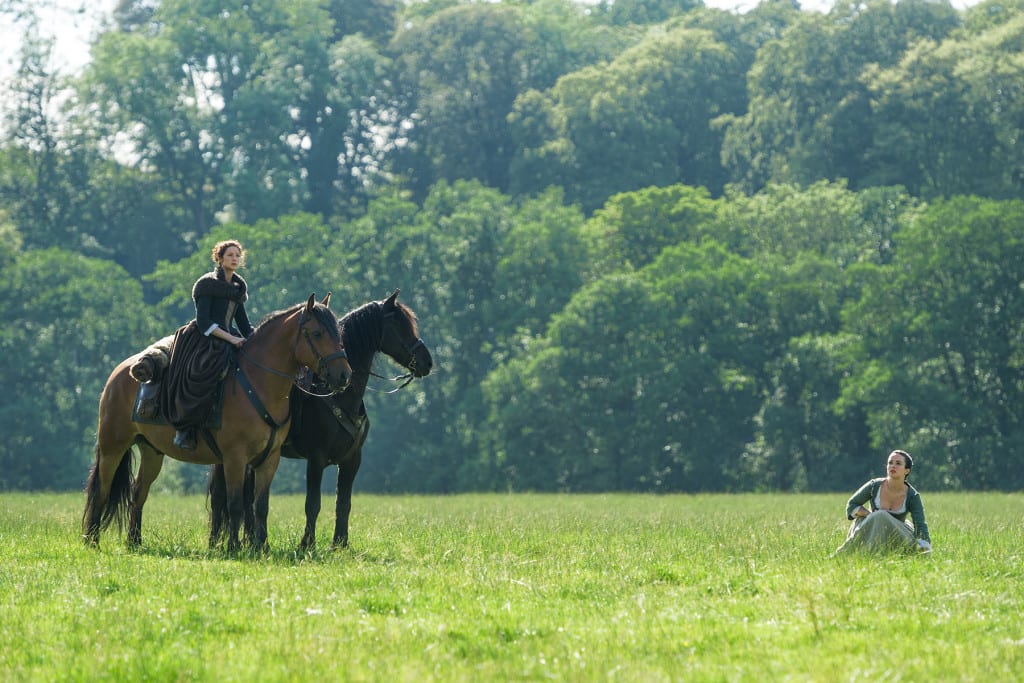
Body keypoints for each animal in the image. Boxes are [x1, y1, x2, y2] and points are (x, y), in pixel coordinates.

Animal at [81, 294, 352, 557]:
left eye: (337, 333)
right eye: (317, 333)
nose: (344, 376)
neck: (257, 382)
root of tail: (118, 373)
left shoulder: (269, 459)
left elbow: (260, 505)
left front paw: (262, 546)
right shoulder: (235, 458)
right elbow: (235, 504)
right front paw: (233, 547)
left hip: (151, 451)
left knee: (139, 492)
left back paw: (134, 542)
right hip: (113, 447)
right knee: (101, 490)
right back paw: (92, 541)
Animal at [207, 288, 432, 548]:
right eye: (398, 324)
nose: (427, 362)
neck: (338, 397)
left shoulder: (352, 459)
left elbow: (343, 503)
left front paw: (340, 543)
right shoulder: (316, 458)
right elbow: (312, 504)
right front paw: (307, 543)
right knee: (220, 496)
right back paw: (217, 541)